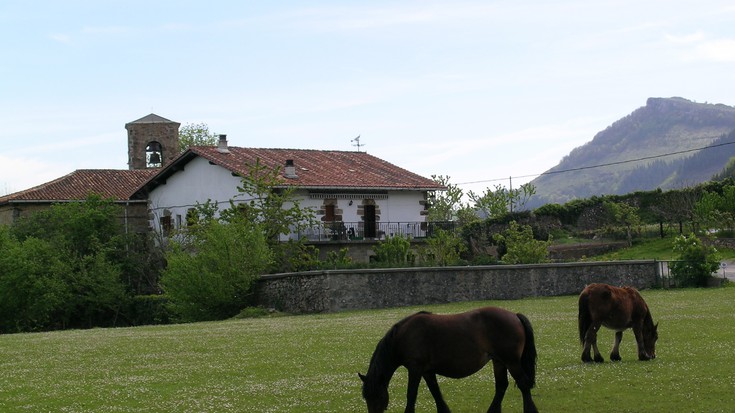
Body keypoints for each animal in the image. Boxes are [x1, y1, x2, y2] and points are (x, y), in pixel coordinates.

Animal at [360, 306, 536, 412]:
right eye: (366, 397)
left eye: (376, 396)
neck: (405, 336)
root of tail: (515, 316)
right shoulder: (427, 371)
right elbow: (436, 393)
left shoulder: (415, 369)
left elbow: (411, 395)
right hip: (499, 362)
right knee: (501, 386)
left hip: (511, 362)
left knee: (523, 384)